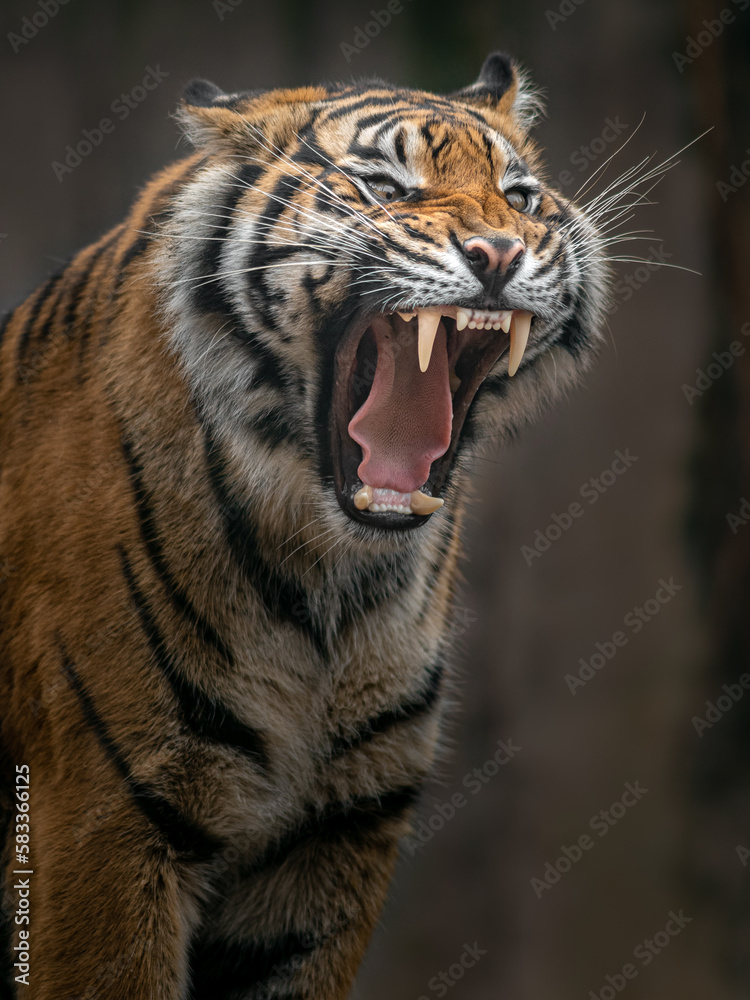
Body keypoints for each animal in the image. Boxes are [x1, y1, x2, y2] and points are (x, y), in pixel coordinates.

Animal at [0, 52, 609, 999]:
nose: (500, 253)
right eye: (383, 185)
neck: (330, 576)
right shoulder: (105, 813)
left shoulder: (337, 833)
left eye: (521, 196)